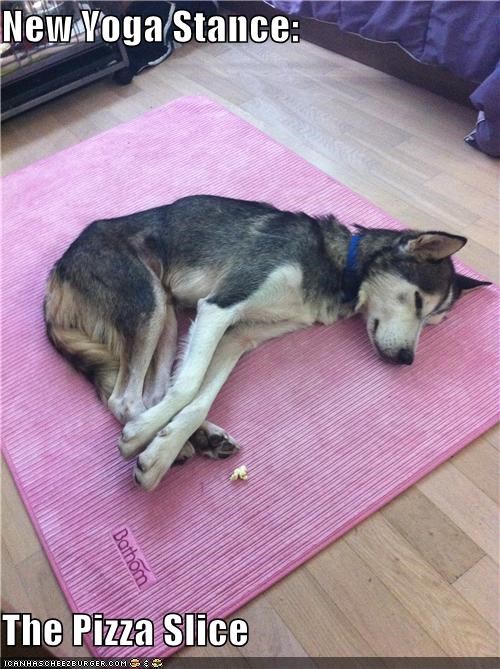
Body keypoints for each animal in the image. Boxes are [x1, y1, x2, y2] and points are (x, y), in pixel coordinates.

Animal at [44, 195, 490, 490]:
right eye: (417, 301)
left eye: (433, 321)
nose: (406, 360)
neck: (338, 266)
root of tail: (56, 272)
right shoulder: (218, 308)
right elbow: (188, 386)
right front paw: (144, 442)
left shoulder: (238, 334)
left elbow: (198, 396)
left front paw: (165, 448)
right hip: (147, 301)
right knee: (124, 400)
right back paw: (148, 431)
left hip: (167, 317)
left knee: (152, 392)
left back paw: (199, 440)